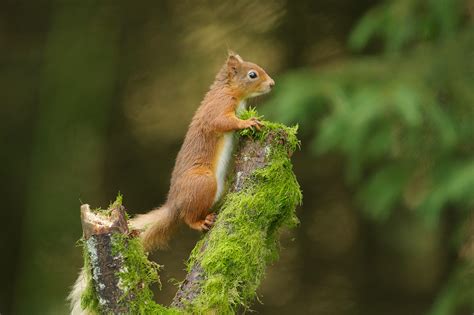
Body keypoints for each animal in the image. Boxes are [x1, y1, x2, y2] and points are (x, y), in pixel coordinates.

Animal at [131, 53, 276, 253]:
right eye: (252, 74)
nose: (272, 84)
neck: (228, 90)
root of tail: (174, 204)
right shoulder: (218, 107)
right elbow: (221, 121)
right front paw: (247, 122)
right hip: (203, 181)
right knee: (188, 217)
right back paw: (200, 222)